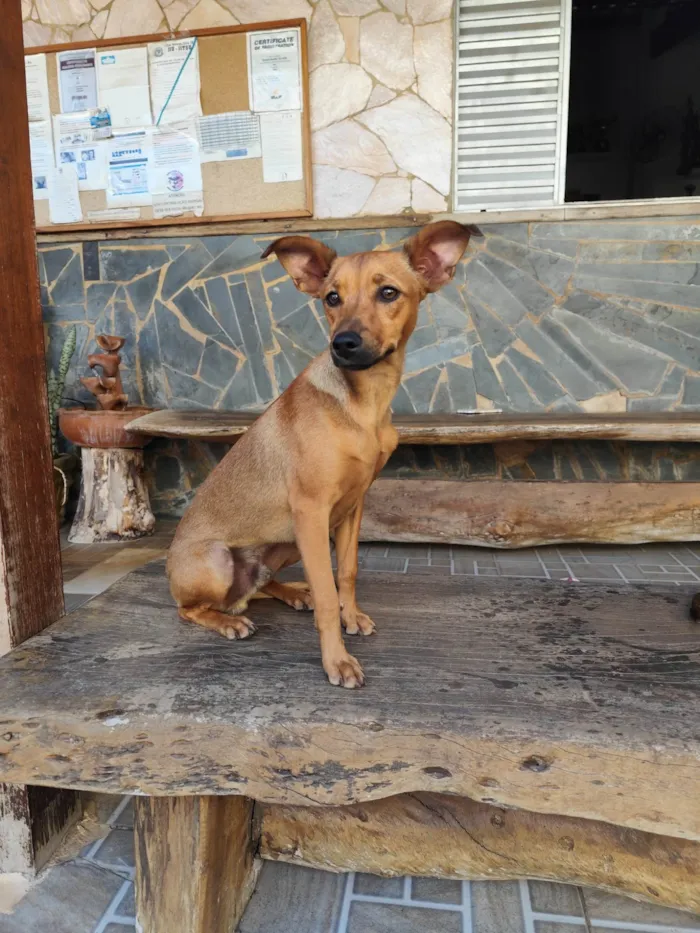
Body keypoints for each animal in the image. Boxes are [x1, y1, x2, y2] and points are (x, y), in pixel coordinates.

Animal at [168, 218, 482, 684]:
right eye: (332, 298)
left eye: (388, 292)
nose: (343, 344)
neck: (363, 405)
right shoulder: (312, 510)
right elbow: (329, 591)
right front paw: (338, 660)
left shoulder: (351, 507)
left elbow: (346, 573)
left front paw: (351, 616)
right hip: (220, 559)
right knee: (192, 608)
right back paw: (228, 621)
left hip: (285, 544)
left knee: (257, 586)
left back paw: (293, 593)